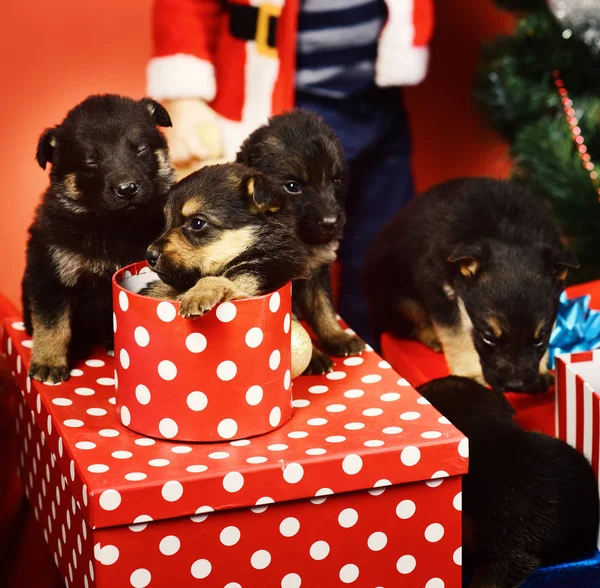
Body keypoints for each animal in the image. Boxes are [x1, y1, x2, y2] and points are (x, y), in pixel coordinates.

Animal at [22, 94, 175, 384]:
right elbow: (52, 324)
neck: (113, 224)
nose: (127, 189)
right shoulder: (50, 274)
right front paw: (49, 362)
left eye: (140, 149)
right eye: (91, 161)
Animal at [237, 108, 364, 374]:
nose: (330, 222)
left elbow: (324, 307)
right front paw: (313, 356)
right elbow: (292, 326)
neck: (302, 240)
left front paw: (337, 337)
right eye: (292, 186)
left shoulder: (318, 270)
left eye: (336, 181)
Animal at [364, 177, 580, 392]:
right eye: (488, 337)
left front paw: (542, 369)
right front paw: (469, 373)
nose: (515, 386)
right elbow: (455, 334)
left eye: (540, 339)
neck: (509, 231)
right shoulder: (436, 288)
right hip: (398, 296)